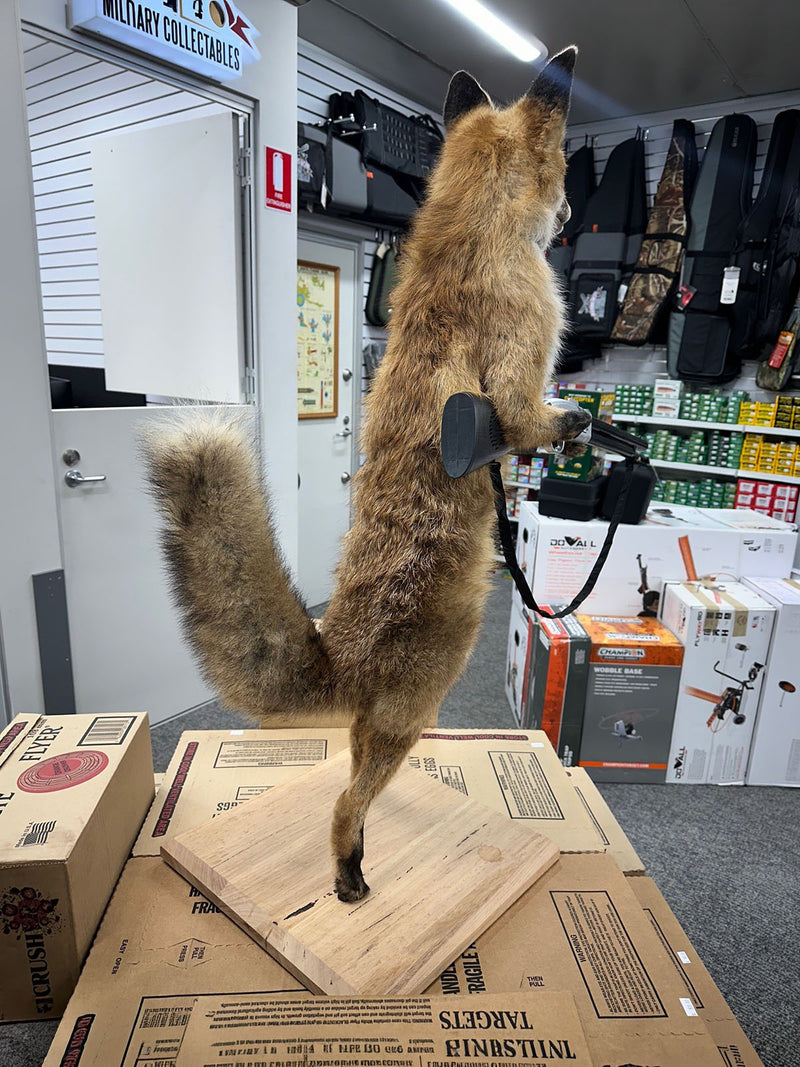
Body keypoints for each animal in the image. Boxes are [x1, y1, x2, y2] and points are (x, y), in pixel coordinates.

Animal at [144, 47, 589, 903]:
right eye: (562, 166)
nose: (575, 215)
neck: (470, 233)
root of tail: (338, 645)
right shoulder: (520, 372)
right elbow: (530, 418)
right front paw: (576, 421)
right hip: (414, 711)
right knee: (345, 805)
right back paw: (349, 874)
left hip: (376, 725)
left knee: (350, 780)